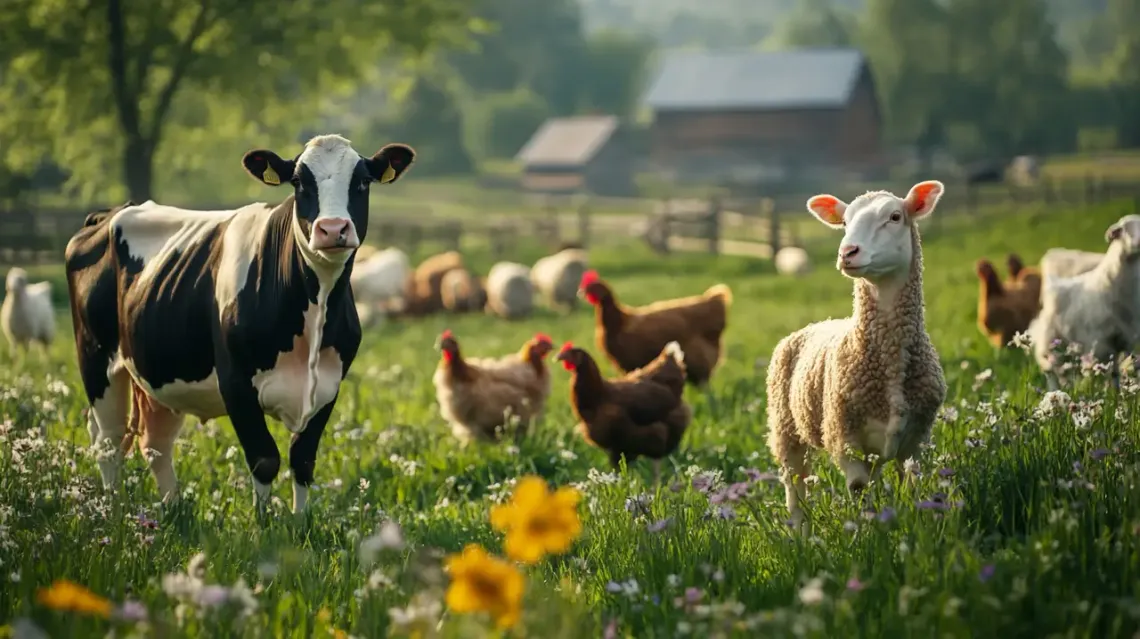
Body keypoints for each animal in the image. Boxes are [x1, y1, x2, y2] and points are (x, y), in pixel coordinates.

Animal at [65, 134, 414, 512]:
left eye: (363, 181)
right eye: (298, 182)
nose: (333, 228)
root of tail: (109, 213)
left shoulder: (329, 384)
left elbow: (303, 461)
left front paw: (299, 521)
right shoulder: (236, 383)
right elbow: (265, 460)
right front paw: (264, 524)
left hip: (158, 371)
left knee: (155, 444)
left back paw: (173, 510)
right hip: (96, 358)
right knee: (108, 441)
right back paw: (112, 510)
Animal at [766, 181, 953, 533]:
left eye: (895, 217)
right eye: (844, 222)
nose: (847, 252)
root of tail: (814, 324)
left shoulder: (917, 440)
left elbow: (913, 487)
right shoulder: (844, 438)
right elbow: (858, 491)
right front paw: (868, 538)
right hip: (786, 430)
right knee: (795, 489)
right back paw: (800, 534)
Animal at [1026, 213, 1140, 389]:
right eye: (1123, 230)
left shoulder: (1121, 341)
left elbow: (1115, 374)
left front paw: (1116, 393)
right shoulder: (1099, 343)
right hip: (1051, 343)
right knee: (1050, 371)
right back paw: (1055, 390)